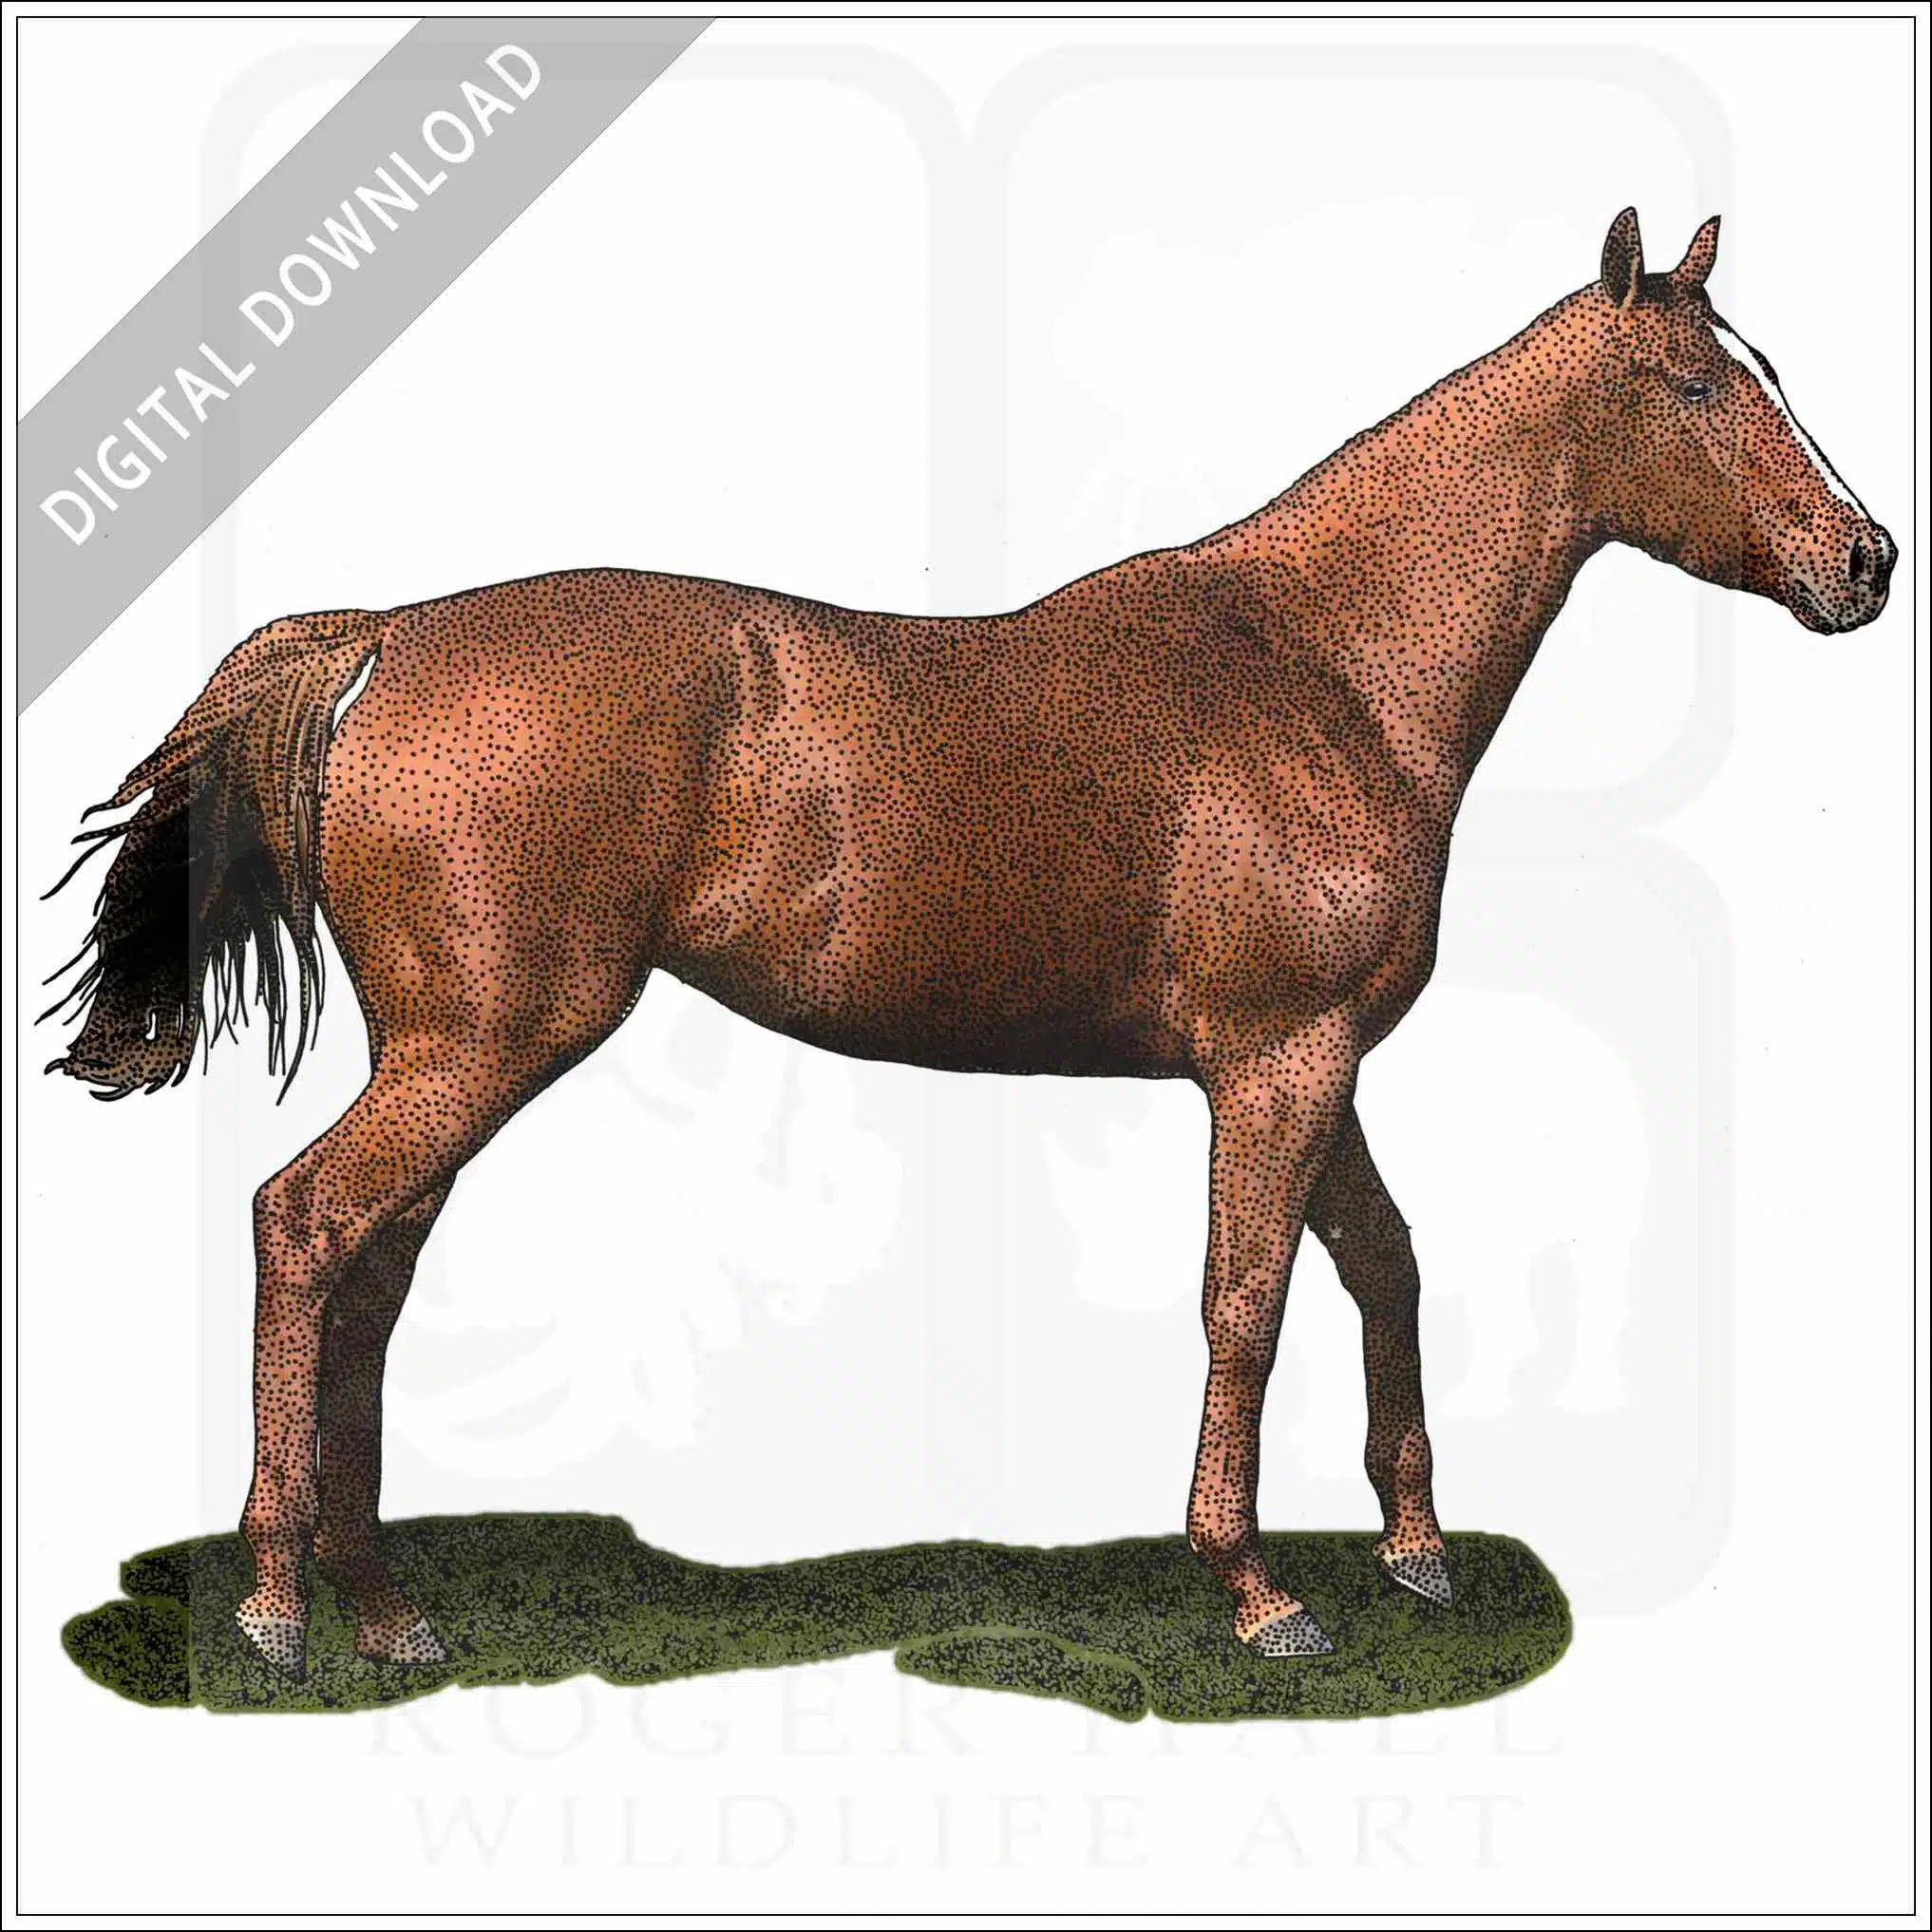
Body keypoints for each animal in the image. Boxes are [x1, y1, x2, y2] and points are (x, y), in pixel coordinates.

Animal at [45, 210, 1896, 1671]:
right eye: (1697, 385)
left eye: (1762, 366)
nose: (1865, 559)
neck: (1318, 664)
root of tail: (387, 637)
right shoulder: (1272, 1062)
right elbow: (1245, 1296)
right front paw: (1257, 1591)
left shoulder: (1322, 1062)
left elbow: (1381, 1260)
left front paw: (1416, 1553)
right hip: (483, 1046)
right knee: (305, 1224)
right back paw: (280, 1605)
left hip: (455, 1053)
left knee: (369, 1270)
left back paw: (383, 1606)